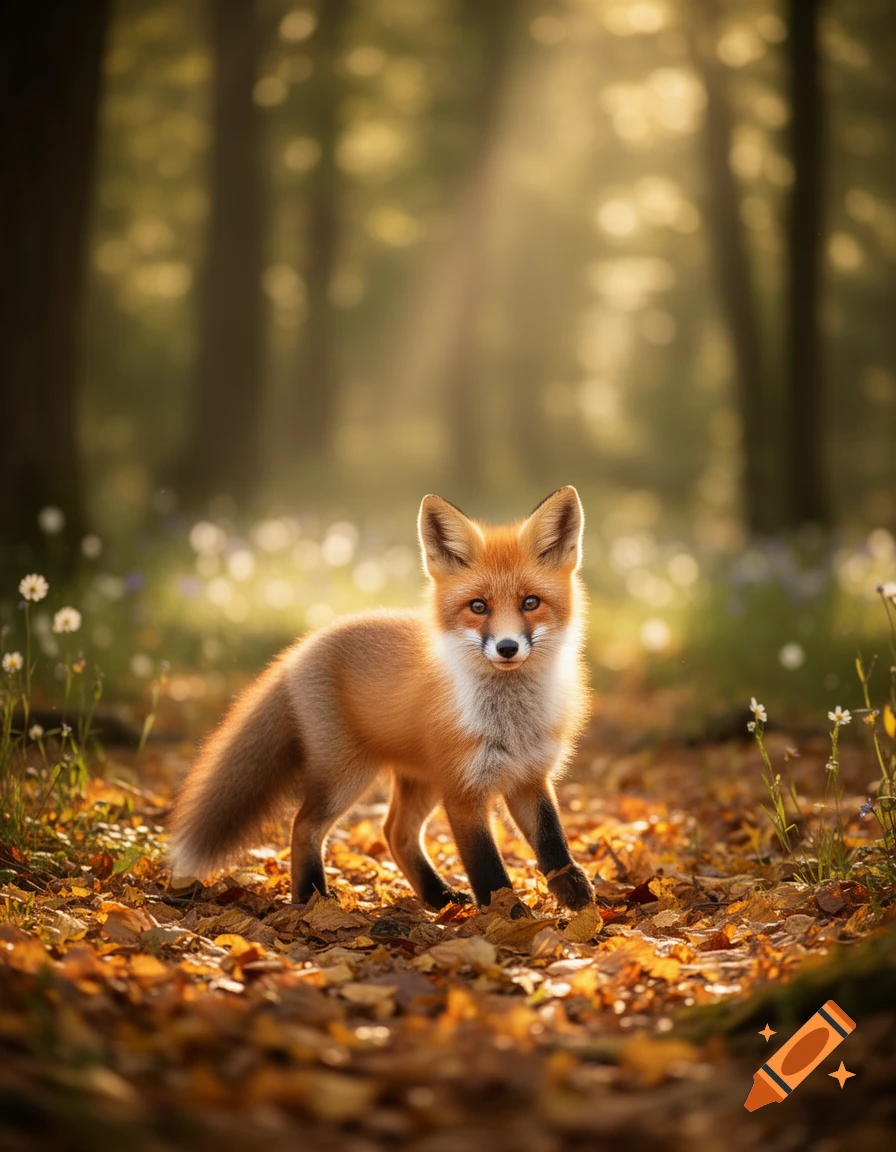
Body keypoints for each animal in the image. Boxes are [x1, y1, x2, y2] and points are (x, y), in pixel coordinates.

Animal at [168, 486, 594, 911]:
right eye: (478, 606)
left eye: (530, 602)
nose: (507, 648)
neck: (510, 721)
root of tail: (303, 645)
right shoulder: (463, 788)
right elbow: (486, 867)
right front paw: (509, 915)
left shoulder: (530, 775)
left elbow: (552, 839)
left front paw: (574, 892)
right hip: (347, 774)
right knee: (305, 825)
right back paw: (311, 896)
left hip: (419, 779)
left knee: (396, 833)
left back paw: (437, 896)